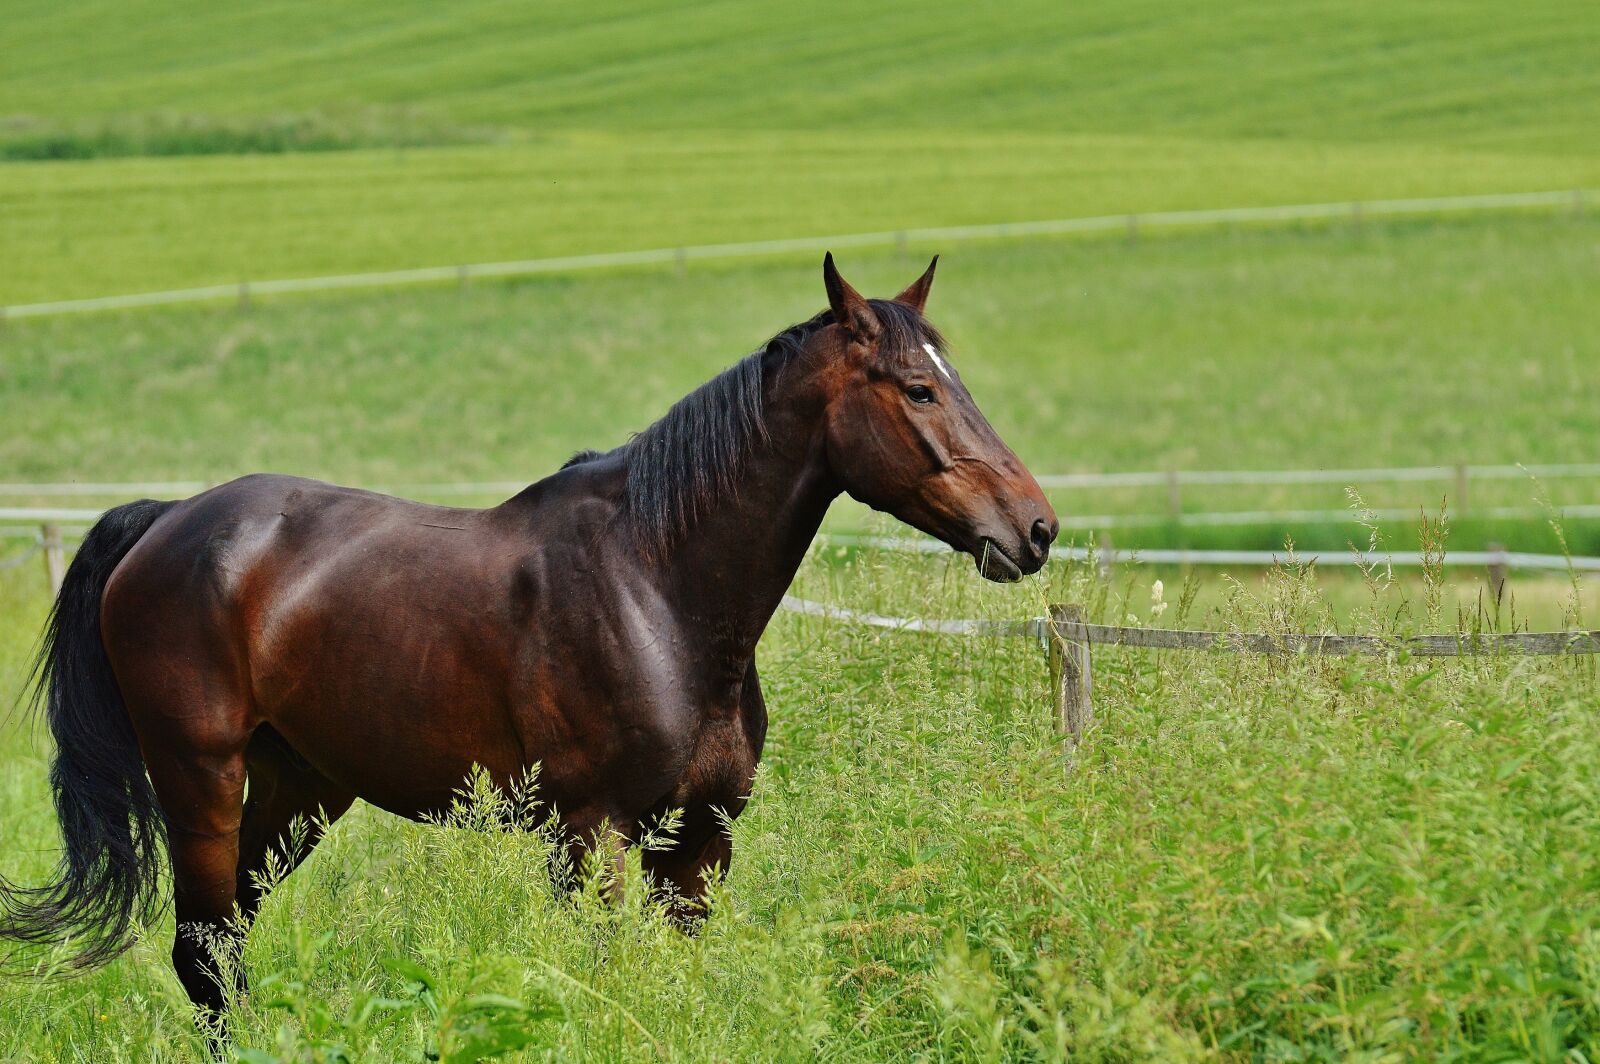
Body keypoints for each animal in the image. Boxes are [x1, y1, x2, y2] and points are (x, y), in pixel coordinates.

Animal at [0, 254, 1058, 1019]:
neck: (658, 588)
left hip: (301, 791)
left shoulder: (700, 845)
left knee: (224, 950)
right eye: (917, 390)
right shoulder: (592, 837)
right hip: (201, 783)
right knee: (202, 954)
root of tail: (168, 521)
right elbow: (609, 983)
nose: (1035, 529)